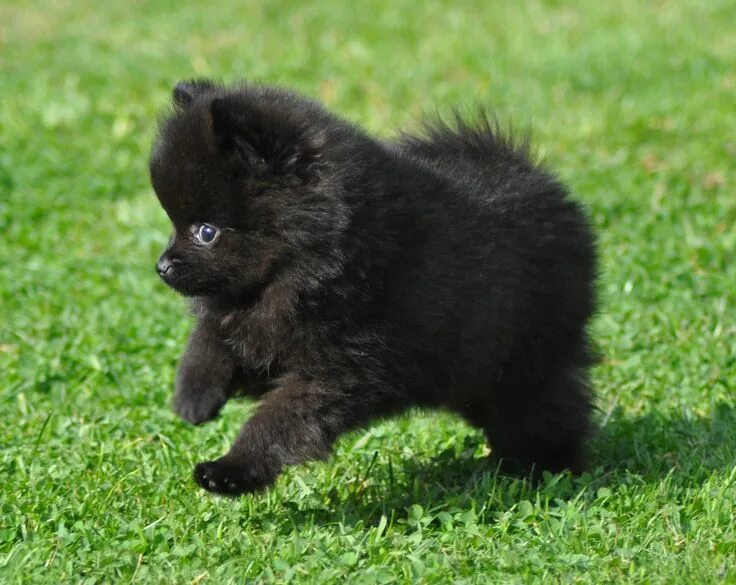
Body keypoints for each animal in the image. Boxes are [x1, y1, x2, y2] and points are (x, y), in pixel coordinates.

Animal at [150, 80, 600, 496]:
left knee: (547, 411)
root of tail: (541, 181)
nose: (162, 266)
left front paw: (230, 470)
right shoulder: (258, 325)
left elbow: (279, 421)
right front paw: (193, 394)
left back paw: (548, 469)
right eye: (174, 224)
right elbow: (212, 338)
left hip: (527, 360)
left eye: (206, 232)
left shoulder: (337, 370)